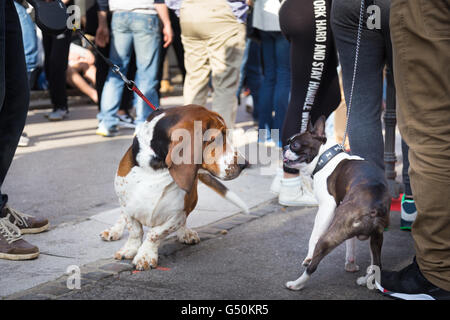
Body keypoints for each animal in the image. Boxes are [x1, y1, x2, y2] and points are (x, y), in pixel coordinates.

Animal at [100, 105, 248, 270]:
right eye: (216, 138)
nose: (244, 164)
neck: (156, 169)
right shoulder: (127, 206)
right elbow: (135, 231)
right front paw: (130, 249)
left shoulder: (177, 215)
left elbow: (155, 234)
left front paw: (145, 255)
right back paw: (114, 230)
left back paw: (185, 233)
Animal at [284, 116, 388, 292]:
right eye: (288, 142)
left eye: (295, 145)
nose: (284, 147)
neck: (324, 159)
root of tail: (375, 205)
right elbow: (350, 243)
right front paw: (350, 263)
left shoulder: (326, 207)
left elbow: (313, 236)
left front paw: (308, 257)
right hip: (376, 237)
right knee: (377, 263)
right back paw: (365, 279)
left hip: (331, 234)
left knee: (313, 266)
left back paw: (296, 284)